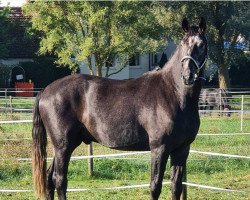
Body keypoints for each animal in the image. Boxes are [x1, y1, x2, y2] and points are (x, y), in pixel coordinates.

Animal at [31, 17, 207, 200]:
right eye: (182, 43)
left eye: (201, 45)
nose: (188, 75)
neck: (173, 93)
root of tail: (46, 90)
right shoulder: (159, 148)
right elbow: (155, 186)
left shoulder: (181, 150)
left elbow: (176, 186)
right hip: (62, 146)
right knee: (59, 180)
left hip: (68, 144)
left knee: (49, 178)